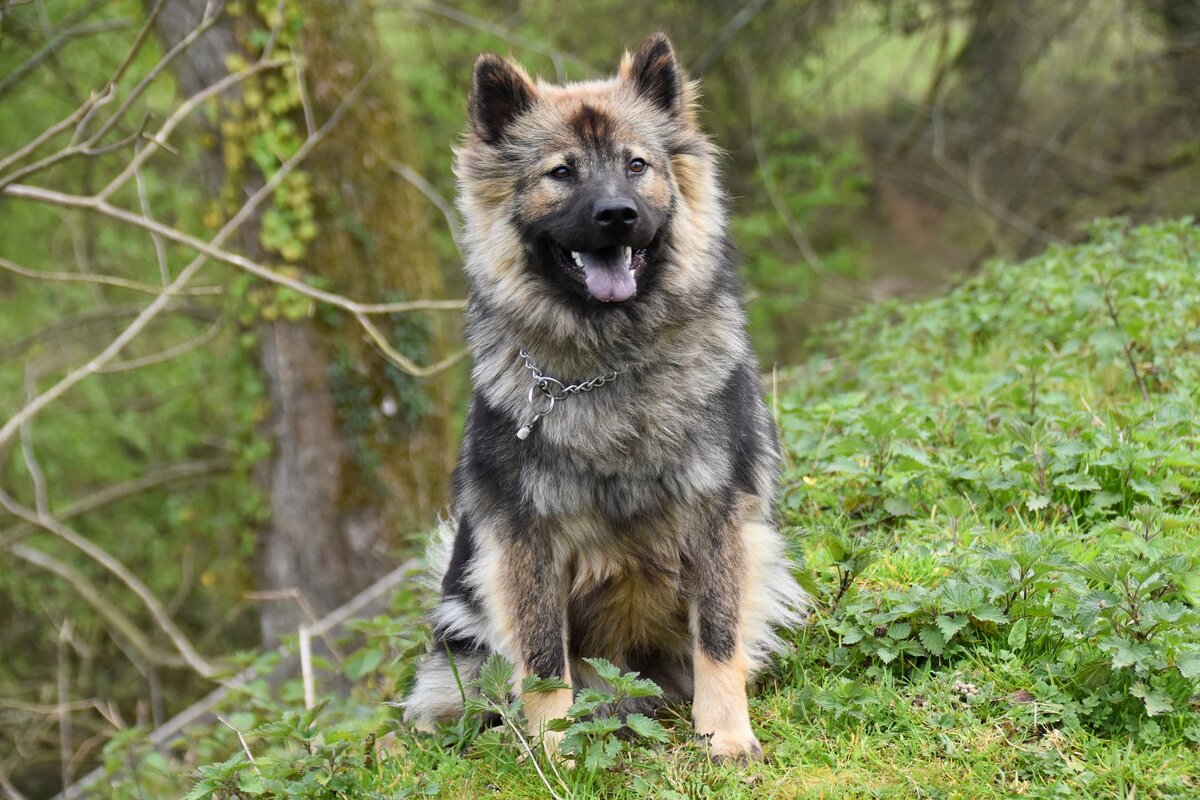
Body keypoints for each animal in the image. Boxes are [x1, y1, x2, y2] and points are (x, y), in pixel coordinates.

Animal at [403, 34, 806, 767]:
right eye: (562, 173)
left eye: (636, 165)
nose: (616, 214)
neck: (610, 366)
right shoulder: (527, 537)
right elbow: (542, 660)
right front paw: (554, 752)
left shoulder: (717, 517)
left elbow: (719, 637)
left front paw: (727, 736)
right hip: (465, 640)